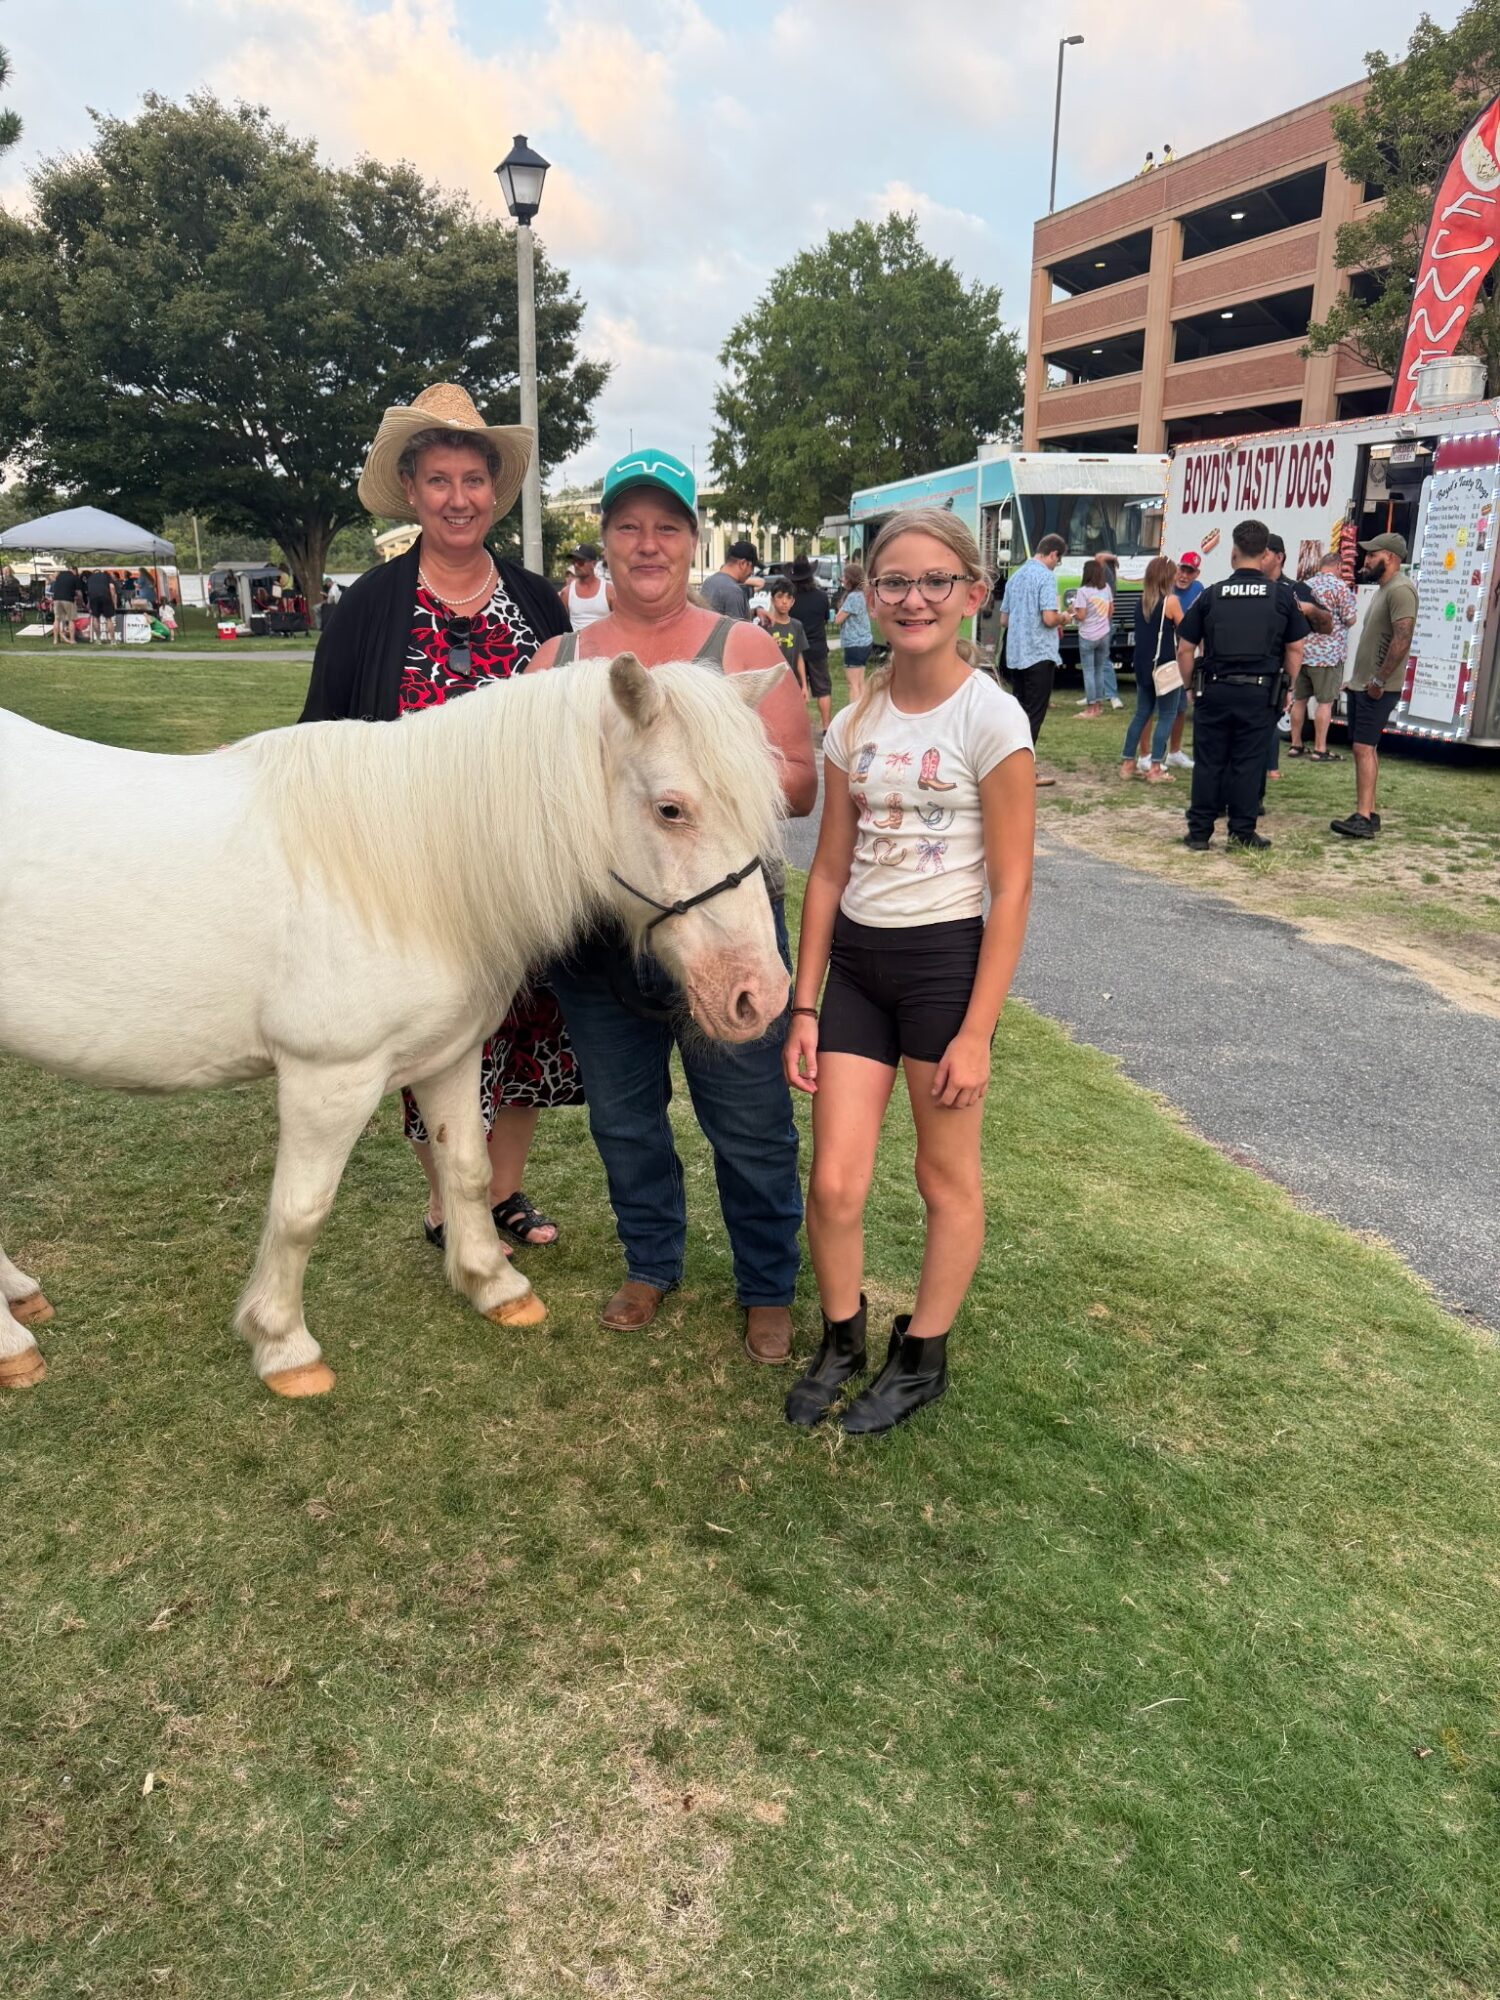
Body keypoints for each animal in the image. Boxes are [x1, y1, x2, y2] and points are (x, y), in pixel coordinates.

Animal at [0, 653, 789, 1395]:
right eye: (671, 809)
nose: (761, 995)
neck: (404, 870)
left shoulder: (452, 1055)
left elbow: (467, 1168)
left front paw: (493, 1285)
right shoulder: (328, 1080)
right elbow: (301, 1211)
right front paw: (283, 1345)